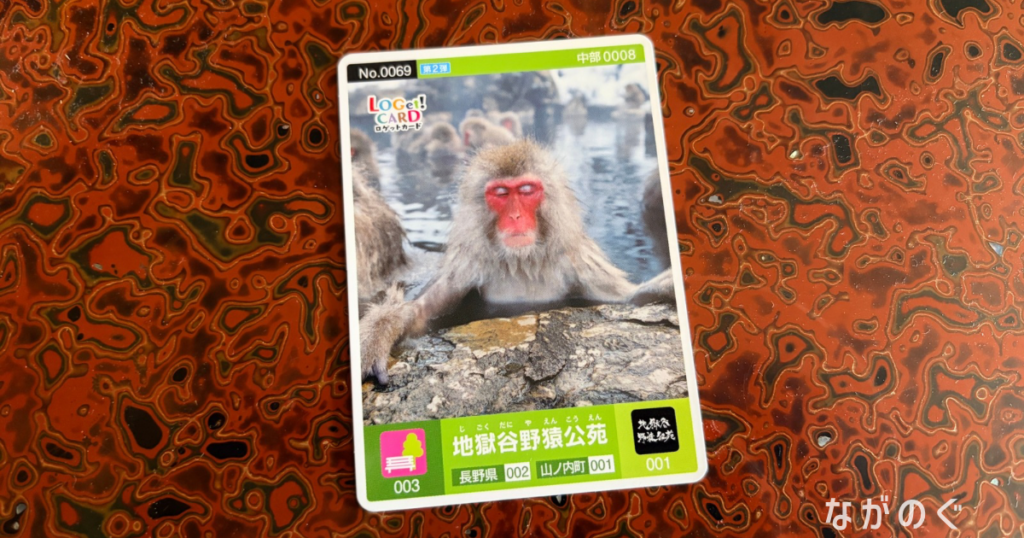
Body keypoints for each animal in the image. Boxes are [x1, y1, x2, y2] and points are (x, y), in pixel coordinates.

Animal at [358, 140, 676, 385]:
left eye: (525, 190)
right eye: (500, 193)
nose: (515, 216)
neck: (523, 261)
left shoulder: (579, 262)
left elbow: (621, 298)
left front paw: (658, 288)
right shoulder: (467, 266)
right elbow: (421, 314)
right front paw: (379, 334)